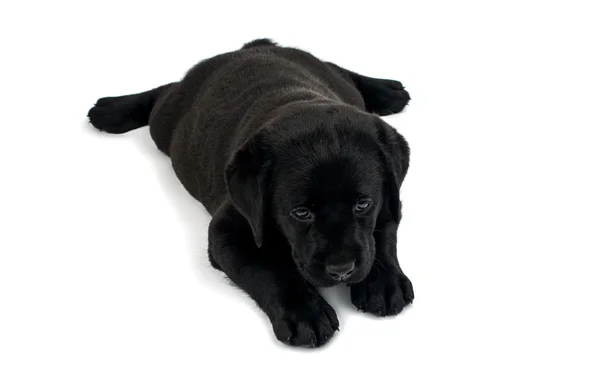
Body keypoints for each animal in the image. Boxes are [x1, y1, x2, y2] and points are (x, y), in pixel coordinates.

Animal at [88, 39, 412, 348]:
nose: (341, 269)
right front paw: (305, 313)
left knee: (339, 69)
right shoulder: (228, 231)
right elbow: (269, 269)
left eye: (363, 204)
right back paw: (110, 109)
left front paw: (384, 284)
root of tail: (249, 48)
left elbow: (382, 235)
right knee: (164, 92)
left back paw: (388, 90)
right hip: (165, 122)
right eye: (301, 212)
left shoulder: (389, 199)